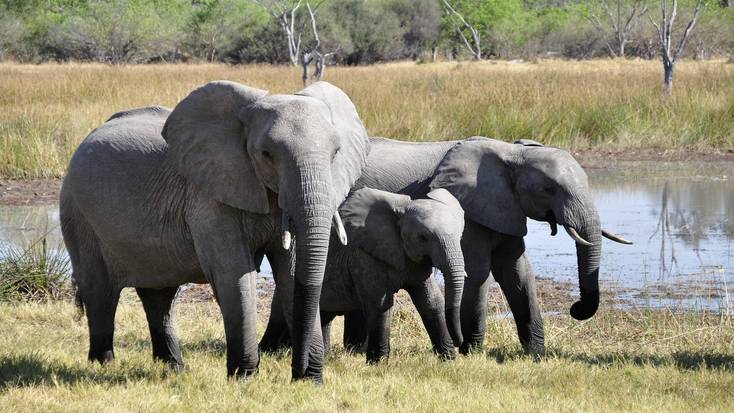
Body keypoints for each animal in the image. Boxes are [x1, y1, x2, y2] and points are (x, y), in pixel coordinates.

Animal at [59, 80, 370, 384]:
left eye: (336, 153)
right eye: (266, 154)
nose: (301, 373)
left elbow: (292, 273)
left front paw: (309, 380)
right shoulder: (209, 196)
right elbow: (234, 274)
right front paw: (244, 379)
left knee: (159, 296)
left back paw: (174, 368)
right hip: (78, 213)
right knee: (99, 291)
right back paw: (103, 365)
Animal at [268, 188, 468, 362]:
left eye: (460, 237)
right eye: (423, 237)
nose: (459, 342)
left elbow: (431, 301)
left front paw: (449, 360)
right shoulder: (364, 256)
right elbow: (380, 304)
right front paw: (378, 363)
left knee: (324, 316)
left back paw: (323, 355)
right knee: (281, 314)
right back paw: (270, 353)